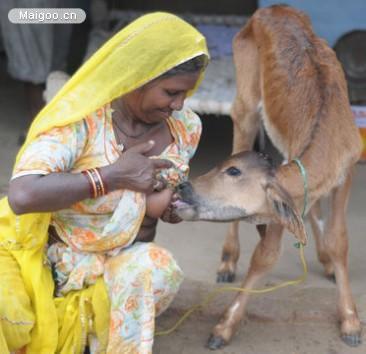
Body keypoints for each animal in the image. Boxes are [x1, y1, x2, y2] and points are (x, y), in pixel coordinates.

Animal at [175, 4, 364, 350]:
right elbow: (265, 256)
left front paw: (350, 322)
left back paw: (324, 260)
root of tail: (273, 8)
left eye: (234, 171)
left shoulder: (346, 173)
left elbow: (338, 240)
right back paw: (227, 261)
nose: (184, 186)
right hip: (245, 103)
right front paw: (224, 327)